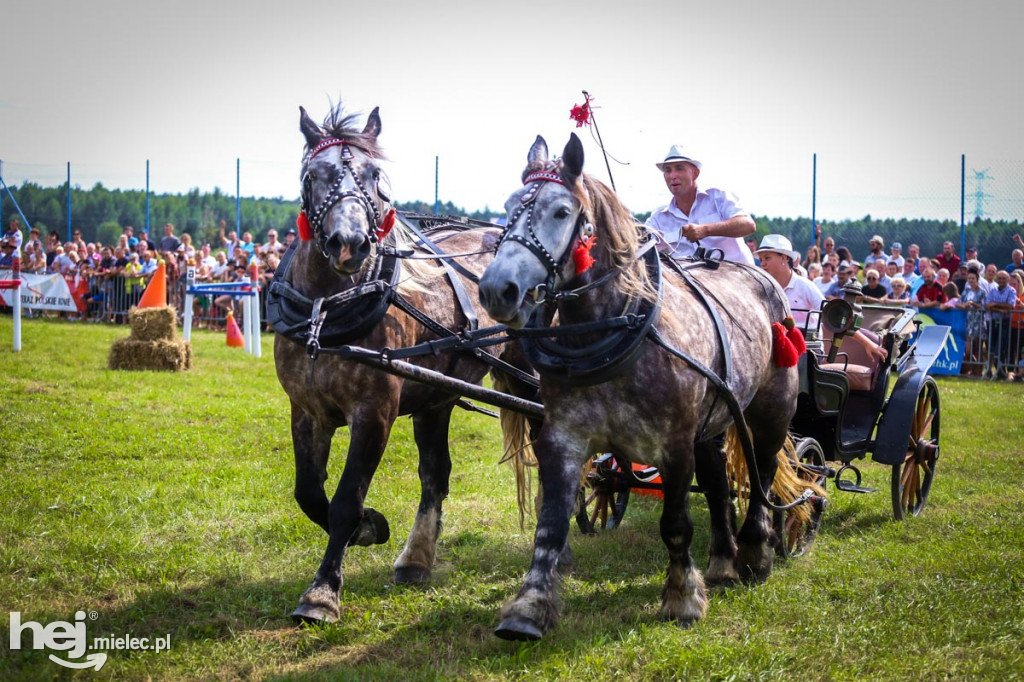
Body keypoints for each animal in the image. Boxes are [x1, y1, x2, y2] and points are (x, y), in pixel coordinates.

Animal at [274, 104, 528, 622]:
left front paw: (322, 591)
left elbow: (346, 498)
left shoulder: (375, 412)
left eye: (375, 175)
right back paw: (416, 558)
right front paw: (369, 528)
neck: (326, 310)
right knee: (435, 473)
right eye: (313, 175)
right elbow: (308, 492)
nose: (349, 243)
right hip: (437, 396)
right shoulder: (306, 409)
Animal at [479, 134, 798, 638]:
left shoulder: (675, 446)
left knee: (761, 471)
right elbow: (551, 524)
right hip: (712, 421)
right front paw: (528, 607)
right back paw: (723, 561)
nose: (497, 289)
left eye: (561, 212)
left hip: (771, 409)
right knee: (717, 482)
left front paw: (682, 598)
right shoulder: (562, 438)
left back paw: (755, 552)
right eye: (510, 207)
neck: (615, 328)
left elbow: (675, 523)